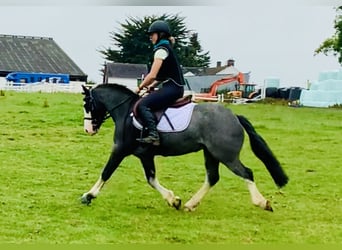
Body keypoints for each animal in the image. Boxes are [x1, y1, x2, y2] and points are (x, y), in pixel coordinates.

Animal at [81, 83, 288, 211]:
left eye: (87, 104)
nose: (88, 129)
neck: (126, 113)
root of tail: (234, 116)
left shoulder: (120, 149)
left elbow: (106, 172)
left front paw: (88, 195)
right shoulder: (145, 155)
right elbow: (151, 179)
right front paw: (174, 200)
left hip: (226, 155)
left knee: (246, 173)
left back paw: (262, 202)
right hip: (211, 154)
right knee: (213, 177)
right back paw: (190, 204)